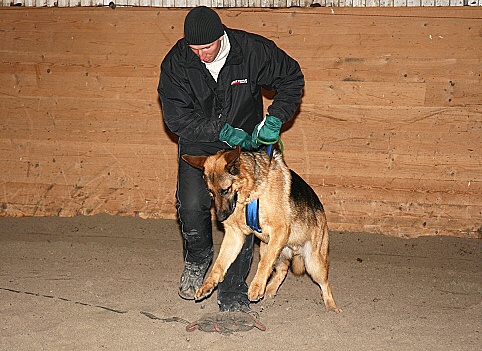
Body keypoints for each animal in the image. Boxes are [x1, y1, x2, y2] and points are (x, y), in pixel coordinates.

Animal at [183, 146, 340, 314]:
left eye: (225, 190)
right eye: (211, 192)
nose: (220, 218)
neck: (251, 191)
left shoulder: (279, 230)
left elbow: (264, 263)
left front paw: (256, 286)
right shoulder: (235, 236)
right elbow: (219, 264)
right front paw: (208, 284)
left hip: (313, 262)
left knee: (324, 284)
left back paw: (332, 306)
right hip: (269, 247)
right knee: (282, 270)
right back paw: (270, 289)